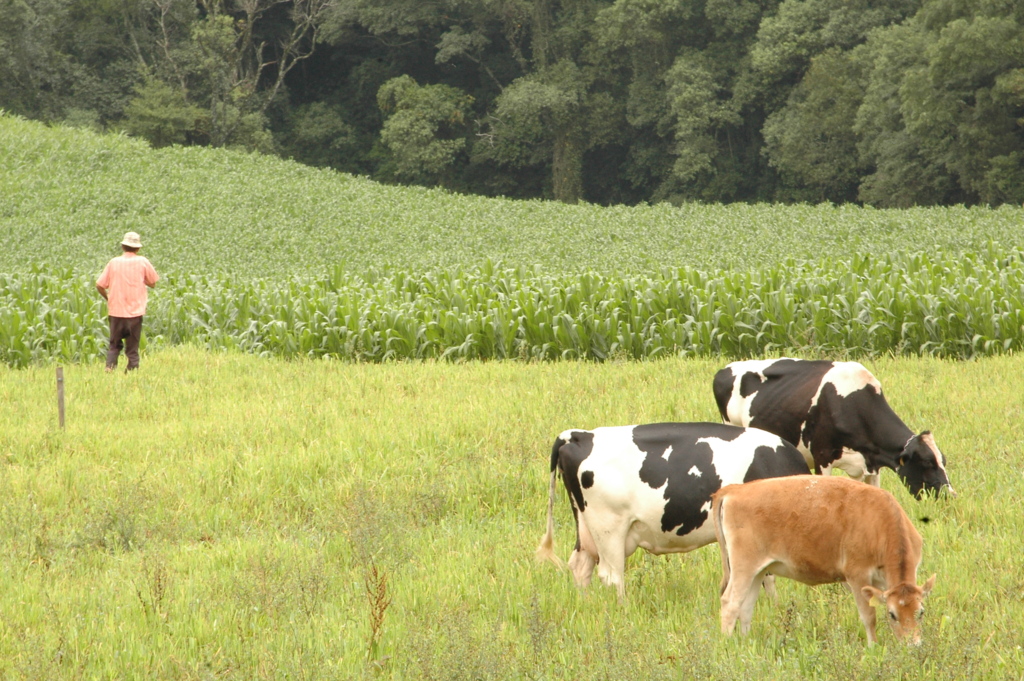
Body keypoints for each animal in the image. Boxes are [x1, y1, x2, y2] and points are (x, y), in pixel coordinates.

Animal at [712, 358, 950, 497]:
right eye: (927, 462)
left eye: (943, 461)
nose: (950, 494)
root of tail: (724, 369)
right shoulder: (822, 456)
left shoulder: (872, 466)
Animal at [712, 473, 937, 643]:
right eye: (892, 614)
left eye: (921, 612)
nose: (913, 646)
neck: (880, 522)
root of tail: (734, 490)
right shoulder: (857, 577)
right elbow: (869, 617)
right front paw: (873, 648)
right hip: (743, 567)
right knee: (730, 603)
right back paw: (726, 644)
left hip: (757, 571)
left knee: (746, 606)